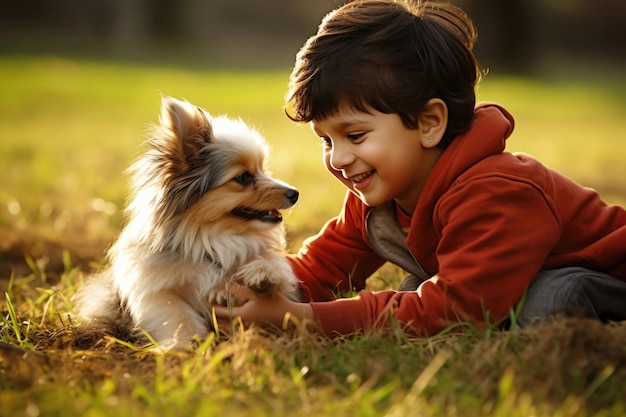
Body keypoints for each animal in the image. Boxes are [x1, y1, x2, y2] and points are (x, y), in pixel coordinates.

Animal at [70, 96, 300, 350]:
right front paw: (185, 344)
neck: (214, 239)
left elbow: (270, 265)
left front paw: (263, 275)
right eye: (243, 177)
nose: (294, 193)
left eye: (263, 170)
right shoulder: (158, 291)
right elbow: (177, 315)